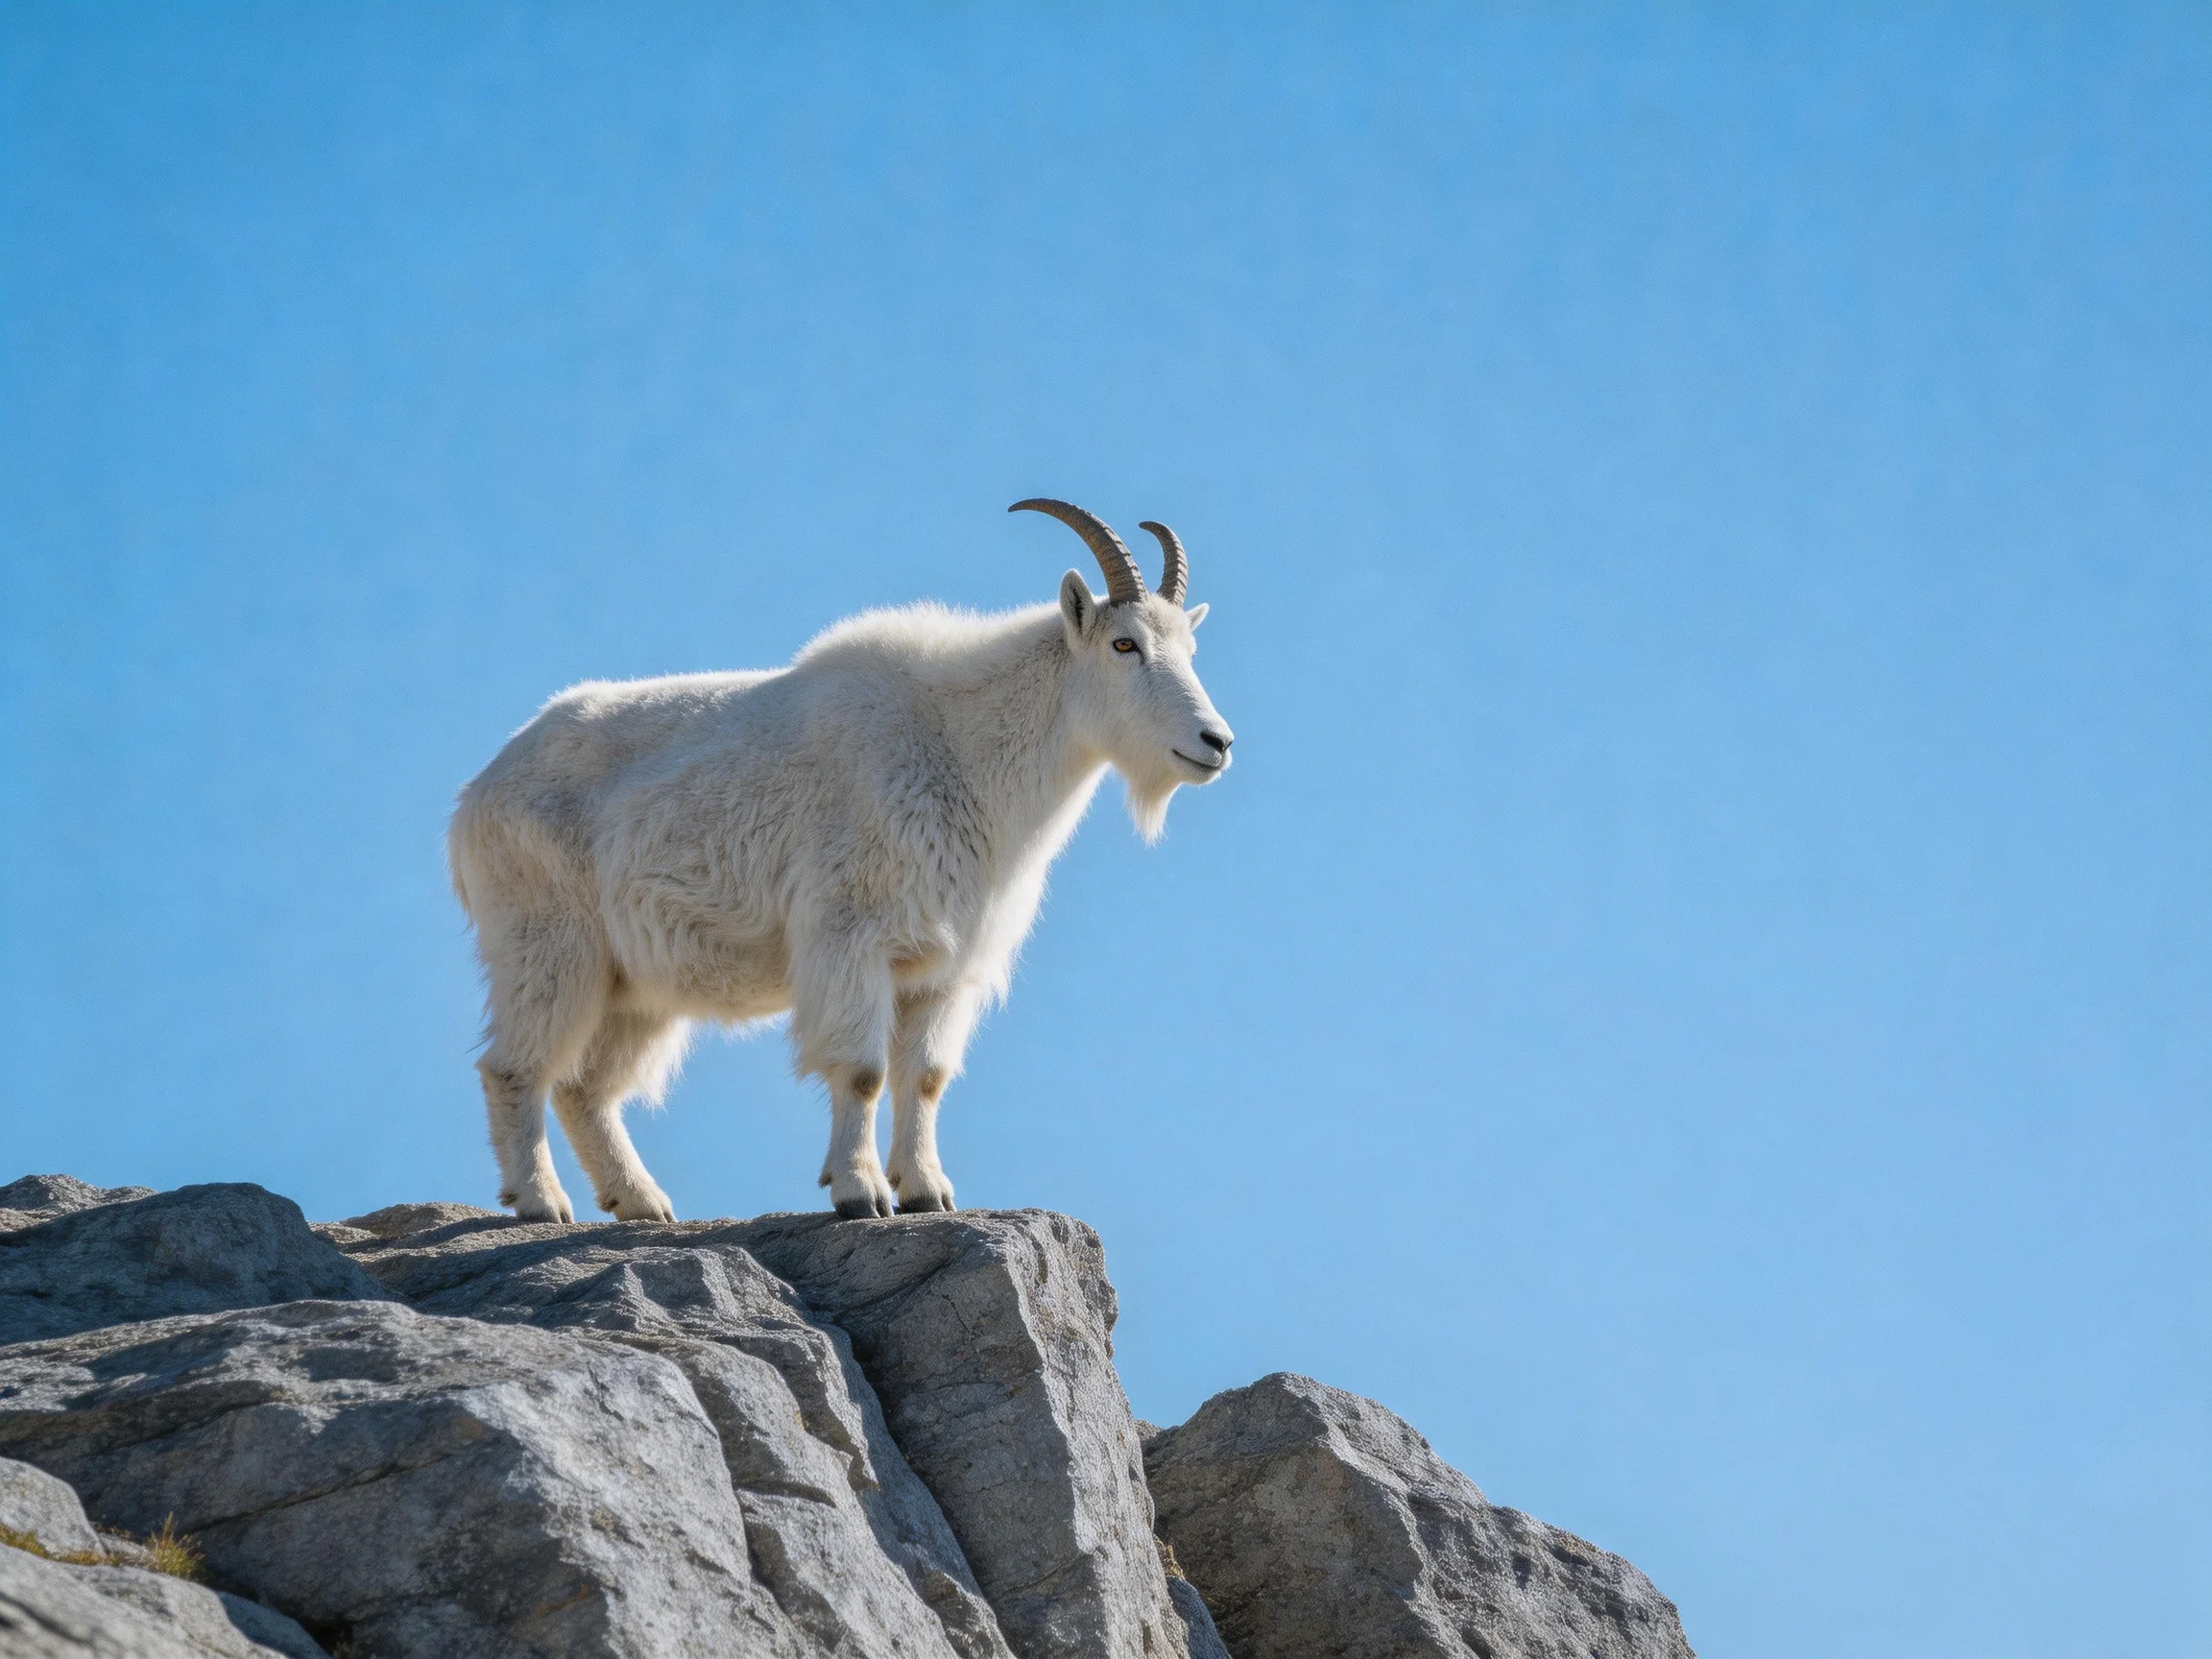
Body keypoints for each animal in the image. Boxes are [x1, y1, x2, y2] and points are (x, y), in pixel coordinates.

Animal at [448, 500, 1234, 1222]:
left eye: (1190, 652)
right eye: (1125, 644)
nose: (1216, 742)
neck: (963, 749)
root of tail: (473, 800)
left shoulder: (943, 966)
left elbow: (925, 1077)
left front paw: (927, 1192)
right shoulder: (852, 936)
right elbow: (861, 1072)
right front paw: (861, 1192)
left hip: (635, 983)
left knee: (587, 1086)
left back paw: (644, 1203)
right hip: (550, 942)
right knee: (514, 1066)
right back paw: (541, 1202)